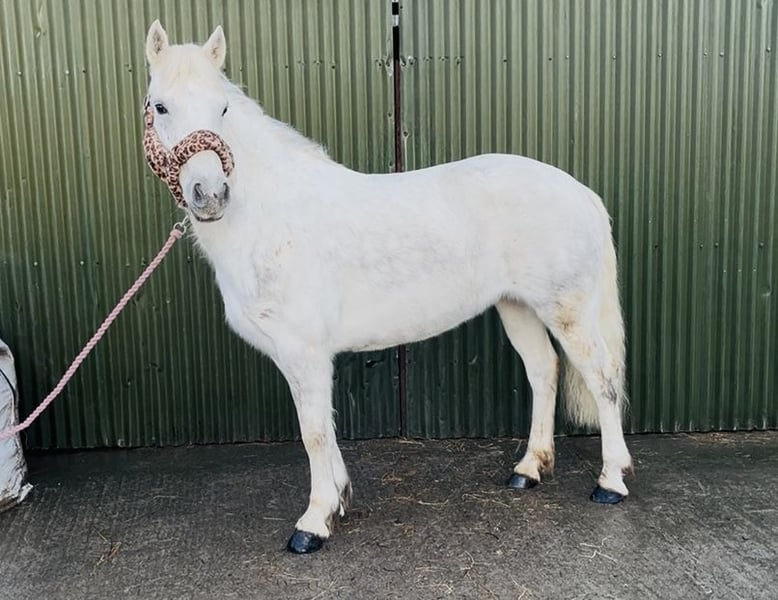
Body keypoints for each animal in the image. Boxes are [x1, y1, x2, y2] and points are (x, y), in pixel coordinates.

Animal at [143, 21, 633, 554]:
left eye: (223, 109)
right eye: (161, 106)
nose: (210, 195)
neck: (270, 215)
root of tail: (581, 192)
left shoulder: (304, 352)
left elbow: (313, 433)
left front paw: (312, 524)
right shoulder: (305, 357)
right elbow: (326, 427)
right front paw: (338, 500)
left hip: (567, 310)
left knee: (603, 379)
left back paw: (610, 482)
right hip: (517, 306)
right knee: (544, 372)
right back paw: (529, 469)